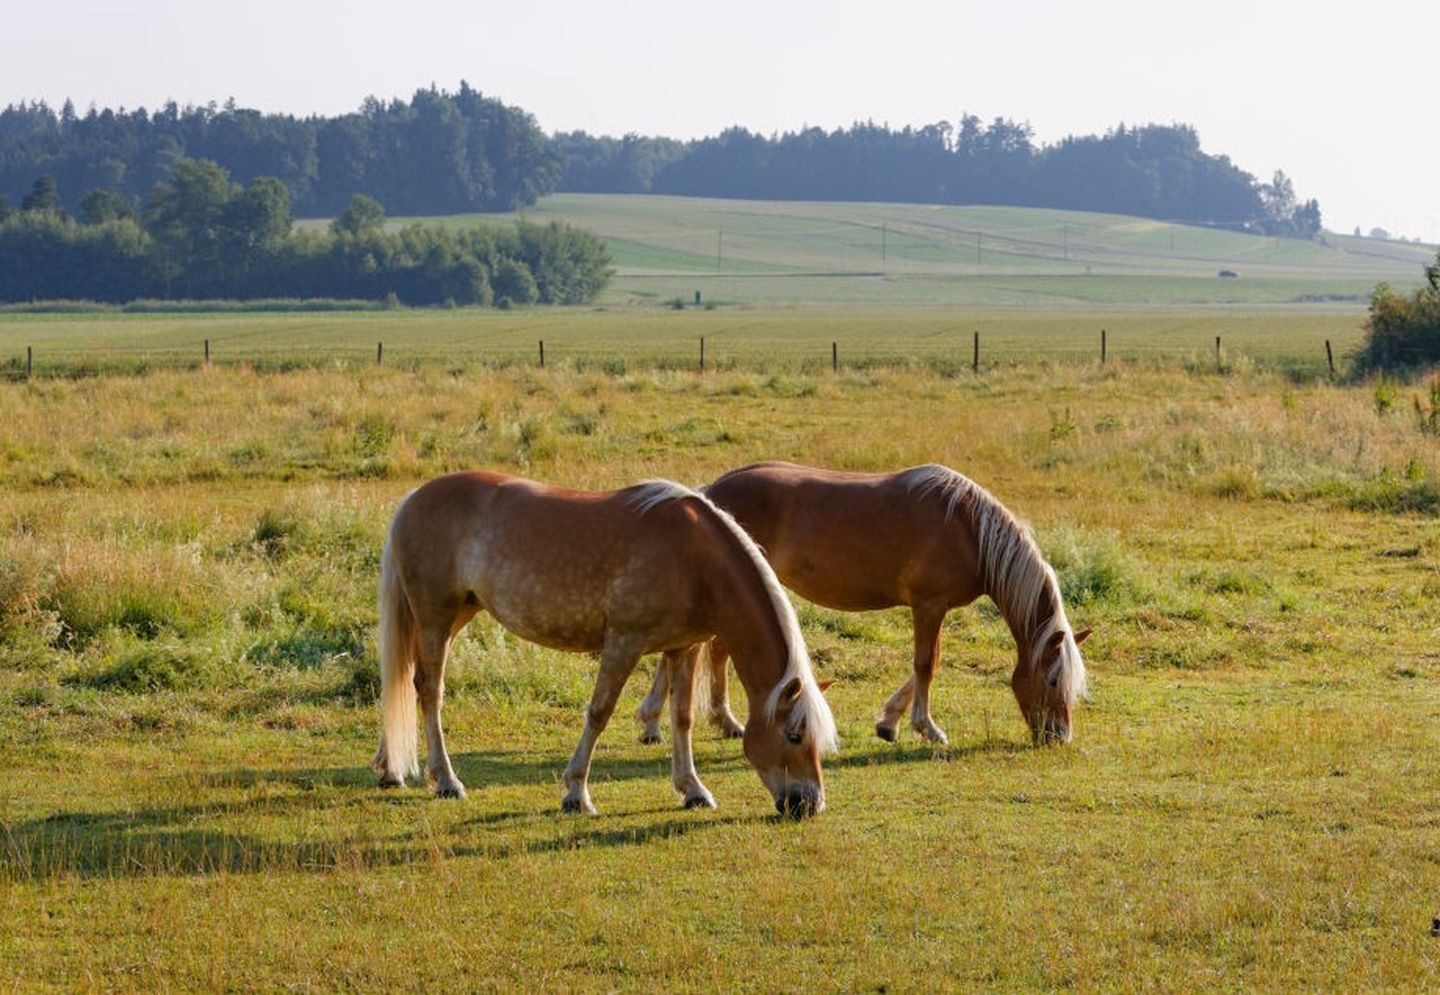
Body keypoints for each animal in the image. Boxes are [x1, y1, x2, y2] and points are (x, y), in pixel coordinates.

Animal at [374, 472, 840, 823]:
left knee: (404, 679)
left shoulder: (684, 648)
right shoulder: (623, 643)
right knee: (429, 690)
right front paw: (576, 794)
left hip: (456, 616)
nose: (811, 804)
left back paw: (390, 768)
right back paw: (446, 781)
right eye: (795, 734)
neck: (694, 559)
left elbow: (682, 718)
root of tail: (413, 499)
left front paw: (692, 789)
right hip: (435, 617)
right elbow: (599, 713)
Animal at [642, 466, 1088, 748]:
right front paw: (927, 728)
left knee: (709, 650)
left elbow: (921, 667)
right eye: (1053, 680)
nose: (1059, 736)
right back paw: (691, 720)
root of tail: (709, 494)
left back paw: (687, 721)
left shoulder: (935, 608)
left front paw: (889, 722)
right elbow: (927, 664)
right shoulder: (929, 605)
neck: (969, 528)